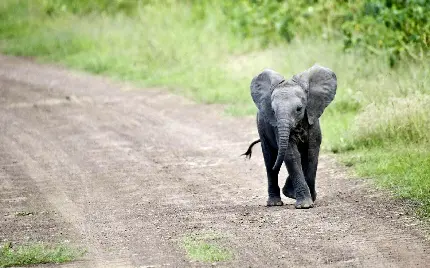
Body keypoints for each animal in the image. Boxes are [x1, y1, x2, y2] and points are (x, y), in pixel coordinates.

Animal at [242, 63, 336, 208]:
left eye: (299, 109)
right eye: (273, 111)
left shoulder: (312, 119)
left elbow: (311, 154)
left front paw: (306, 198)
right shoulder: (276, 127)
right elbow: (291, 155)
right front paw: (305, 204)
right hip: (262, 129)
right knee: (270, 161)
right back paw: (275, 203)